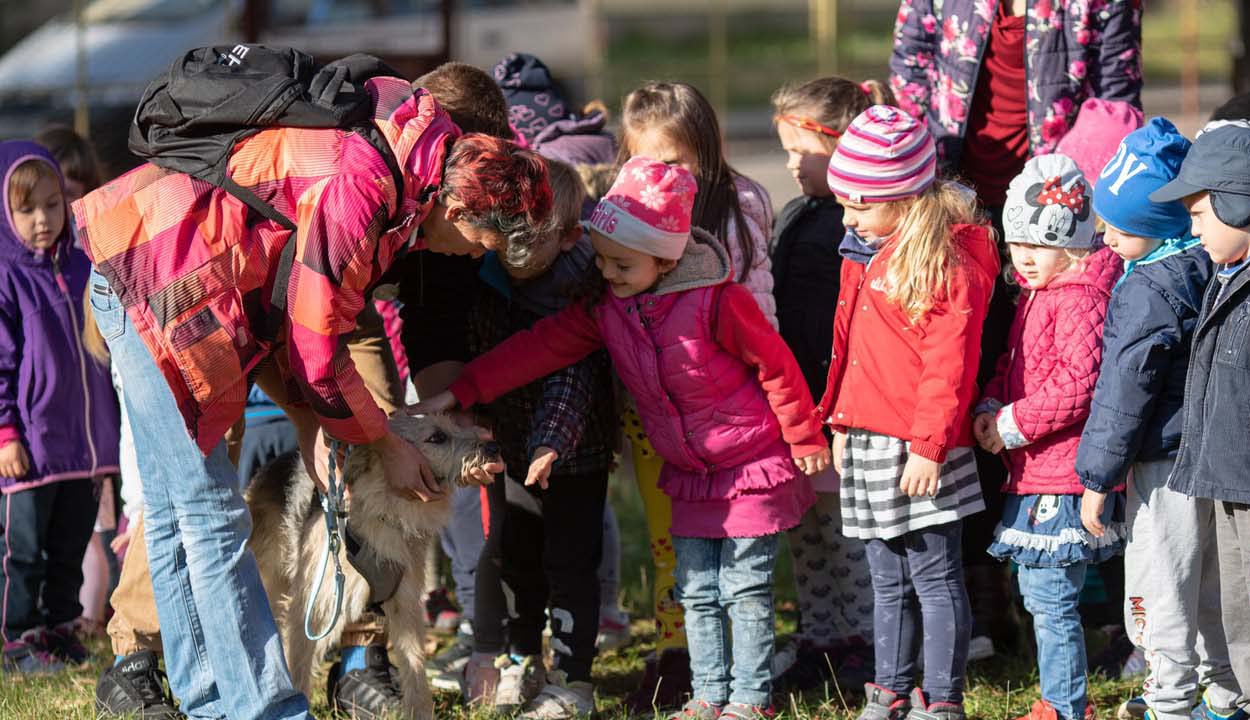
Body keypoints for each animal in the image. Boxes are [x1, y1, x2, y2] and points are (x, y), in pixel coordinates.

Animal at [241, 412, 500, 715]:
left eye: (457, 425)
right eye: (437, 437)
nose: (493, 446)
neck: (386, 511)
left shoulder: (405, 606)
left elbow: (416, 670)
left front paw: (420, 711)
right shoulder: (312, 608)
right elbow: (300, 666)